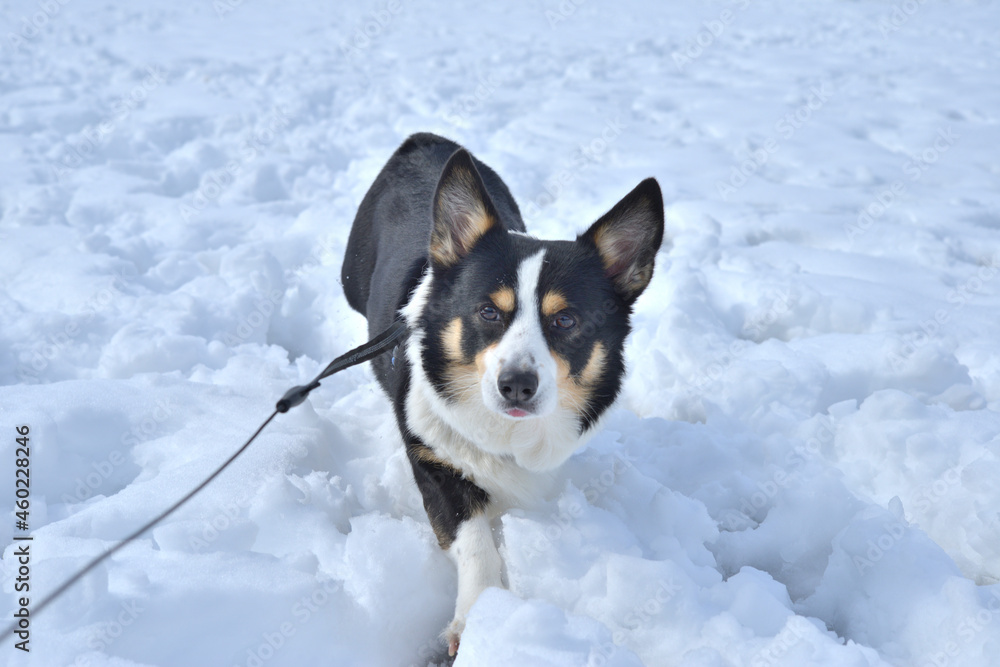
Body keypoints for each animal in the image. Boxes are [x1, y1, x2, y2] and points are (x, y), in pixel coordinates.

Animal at [342, 133, 664, 656]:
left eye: (565, 320)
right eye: (489, 312)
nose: (515, 384)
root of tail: (423, 139)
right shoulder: (432, 458)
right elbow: (475, 541)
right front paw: (477, 618)